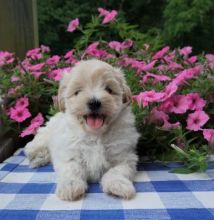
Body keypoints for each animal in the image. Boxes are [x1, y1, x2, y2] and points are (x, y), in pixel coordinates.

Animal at [25, 59, 140, 200]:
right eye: (78, 92)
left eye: (109, 89)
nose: (94, 102)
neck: (95, 134)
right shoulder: (69, 153)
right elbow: (72, 169)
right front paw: (70, 186)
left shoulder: (124, 156)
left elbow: (117, 171)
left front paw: (118, 185)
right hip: (44, 135)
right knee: (35, 145)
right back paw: (37, 157)